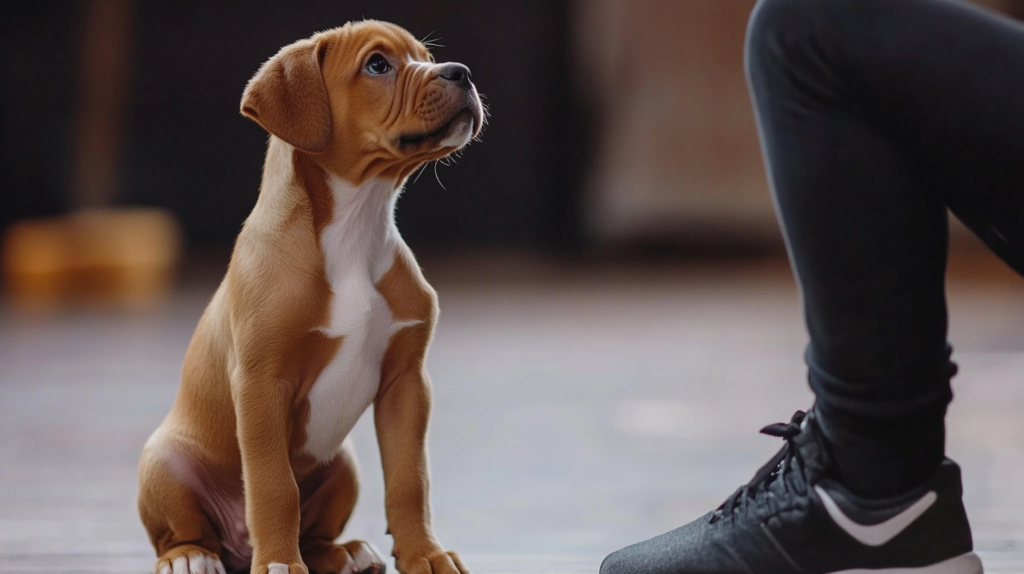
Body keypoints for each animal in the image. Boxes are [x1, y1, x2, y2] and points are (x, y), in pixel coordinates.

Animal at [136, 19, 483, 572]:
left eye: (426, 58)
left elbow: (410, 480)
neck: (355, 228)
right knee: (181, 533)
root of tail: (237, 547)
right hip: (164, 461)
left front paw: (424, 554)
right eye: (378, 65)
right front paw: (279, 562)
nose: (463, 72)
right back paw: (191, 556)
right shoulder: (261, 385)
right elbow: (274, 485)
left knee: (316, 532)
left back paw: (343, 553)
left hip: (344, 465)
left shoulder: (407, 383)